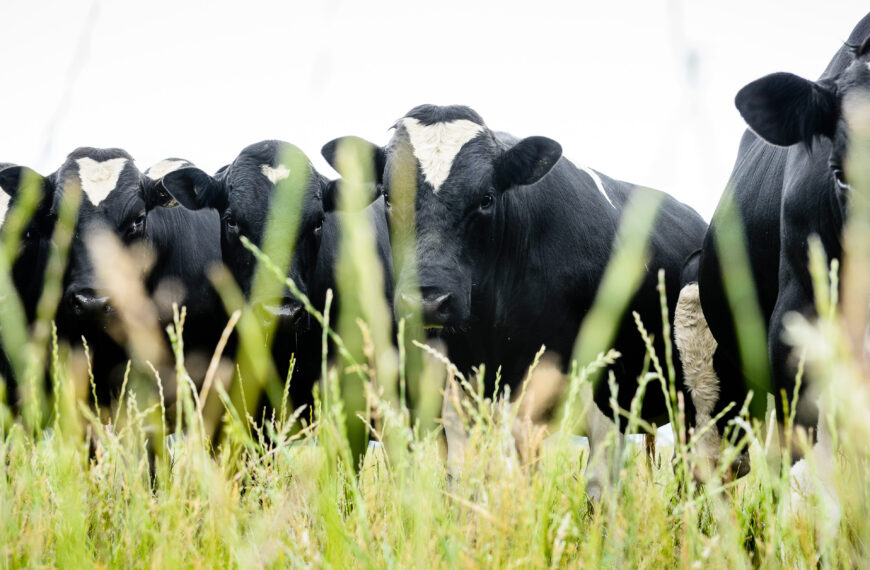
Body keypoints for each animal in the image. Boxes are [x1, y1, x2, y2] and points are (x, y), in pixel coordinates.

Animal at [324, 104, 712, 494]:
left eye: (486, 198)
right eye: (389, 197)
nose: (428, 301)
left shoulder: (608, 395)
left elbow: (598, 487)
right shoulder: (462, 397)